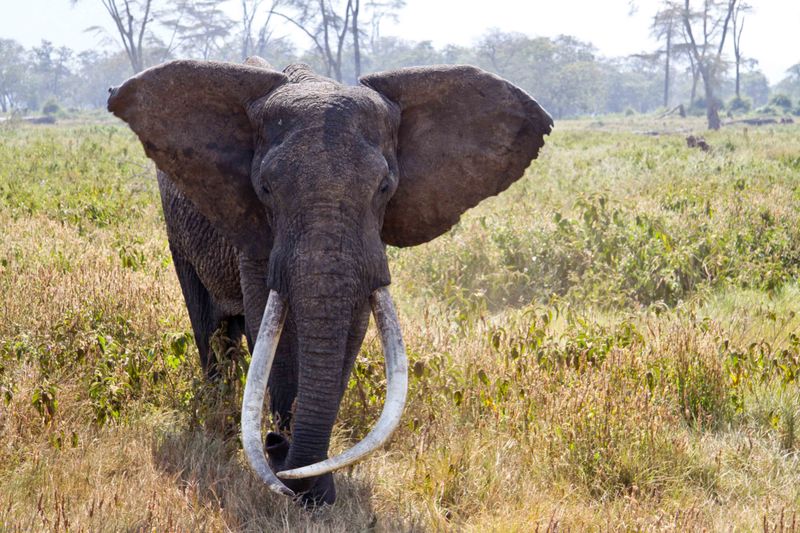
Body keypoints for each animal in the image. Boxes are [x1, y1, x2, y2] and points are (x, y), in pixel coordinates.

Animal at [108, 56, 552, 504]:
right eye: (265, 188)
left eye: (385, 187)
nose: (274, 442)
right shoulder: (254, 230)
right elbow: (269, 329)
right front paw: (295, 483)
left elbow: (352, 331)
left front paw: (315, 488)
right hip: (180, 230)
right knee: (210, 327)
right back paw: (220, 424)